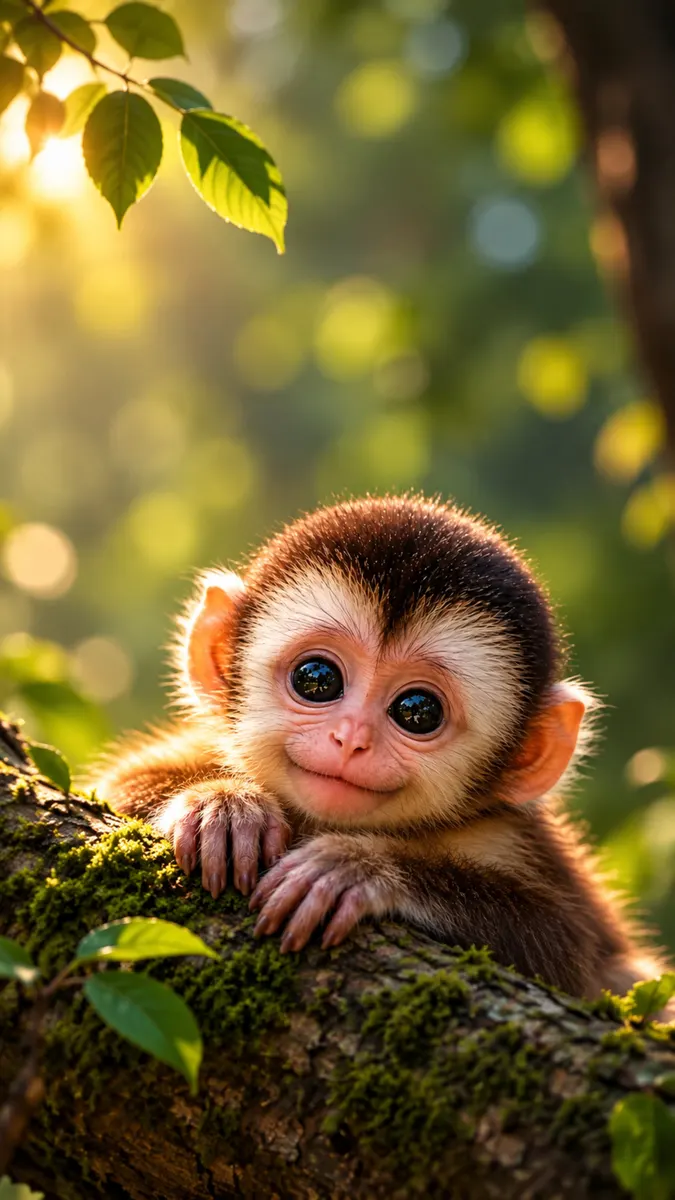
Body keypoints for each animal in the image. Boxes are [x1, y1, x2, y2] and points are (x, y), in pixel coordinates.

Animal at [90, 495, 670, 1002]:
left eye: (418, 711)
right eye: (317, 679)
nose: (351, 739)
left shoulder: (511, 835)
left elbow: (567, 953)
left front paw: (359, 868)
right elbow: (112, 788)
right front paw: (225, 807)